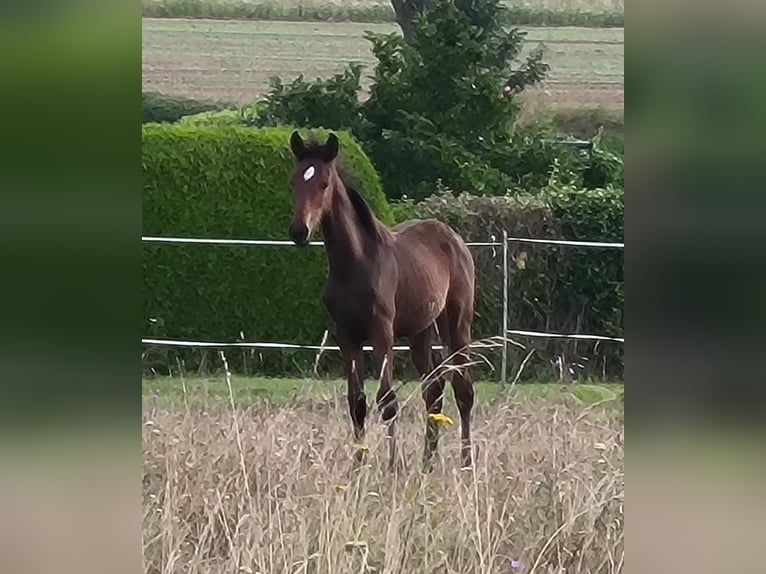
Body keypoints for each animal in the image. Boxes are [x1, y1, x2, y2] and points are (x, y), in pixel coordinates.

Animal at [288, 133, 476, 470]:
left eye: (324, 182)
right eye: (294, 180)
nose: (299, 231)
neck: (356, 261)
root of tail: (454, 238)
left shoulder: (382, 333)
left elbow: (387, 400)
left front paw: (392, 466)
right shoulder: (347, 336)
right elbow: (357, 402)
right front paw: (358, 464)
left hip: (456, 323)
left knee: (463, 388)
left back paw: (467, 463)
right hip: (420, 331)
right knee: (434, 390)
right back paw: (427, 462)